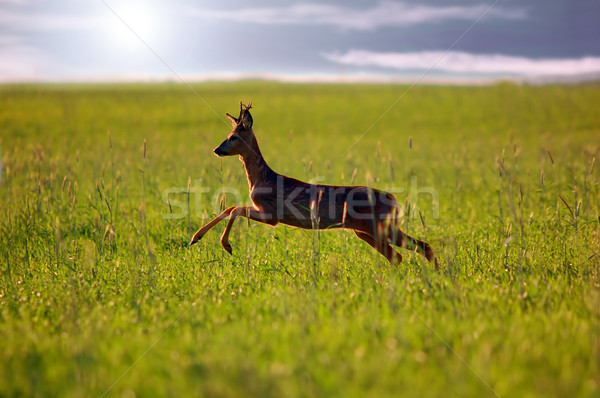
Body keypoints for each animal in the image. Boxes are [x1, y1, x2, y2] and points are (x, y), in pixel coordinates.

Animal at [190, 101, 438, 268]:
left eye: (233, 136)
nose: (217, 149)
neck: (262, 179)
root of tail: (395, 201)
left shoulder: (272, 214)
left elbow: (234, 209)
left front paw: (225, 245)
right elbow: (230, 208)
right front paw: (197, 238)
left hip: (381, 226)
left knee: (420, 247)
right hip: (366, 230)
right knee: (399, 255)